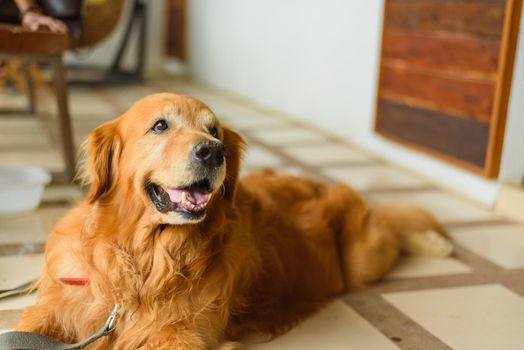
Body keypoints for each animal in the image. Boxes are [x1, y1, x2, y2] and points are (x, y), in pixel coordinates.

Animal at [16, 93, 450, 350]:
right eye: (160, 126)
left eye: (215, 130)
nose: (212, 151)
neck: (148, 260)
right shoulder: (59, 309)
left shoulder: (185, 338)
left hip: (363, 257)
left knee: (392, 225)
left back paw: (434, 241)